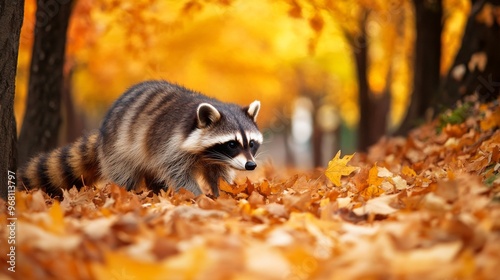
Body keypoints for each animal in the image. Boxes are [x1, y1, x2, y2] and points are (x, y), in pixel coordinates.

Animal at [19, 81, 262, 198]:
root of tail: (102, 133)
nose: (251, 165)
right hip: (119, 147)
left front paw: (223, 192)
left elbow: (219, 175)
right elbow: (178, 173)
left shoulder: (217, 159)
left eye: (251, 143)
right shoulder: (171, 145)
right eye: (232, 144)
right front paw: (197, 195)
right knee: (124, 174)